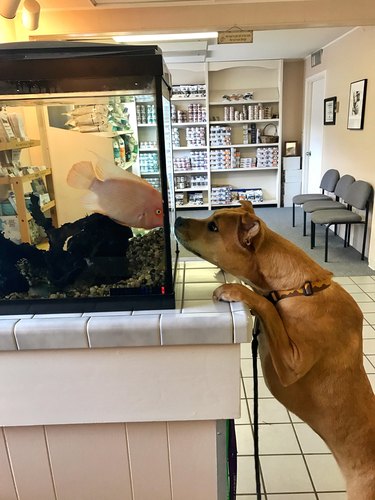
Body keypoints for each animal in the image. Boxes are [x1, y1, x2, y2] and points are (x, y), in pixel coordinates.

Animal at [176, 200, 375, 500]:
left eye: (213, 226)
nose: (176, 220)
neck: (299, 288)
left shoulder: (292, 364)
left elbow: (267, 306)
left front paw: (237, 289)